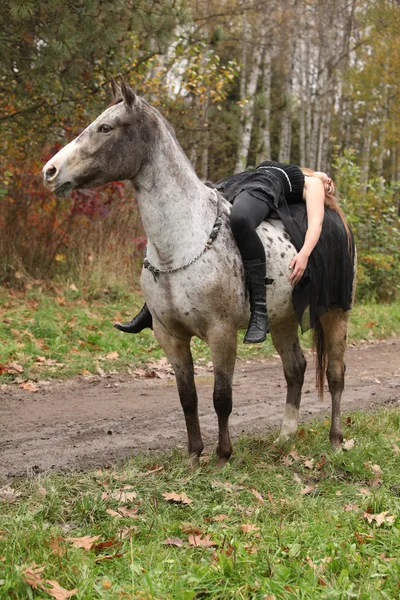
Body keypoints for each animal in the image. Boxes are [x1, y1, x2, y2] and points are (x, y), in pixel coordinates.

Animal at [41, 77, 354, 466]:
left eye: (105, 128)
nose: (50, 172)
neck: (182, 240)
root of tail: (335, 216)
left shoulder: (222, 334)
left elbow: (221, 397)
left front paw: (222, 456)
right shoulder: (170, 336)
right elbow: (187, 396)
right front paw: (193, 454)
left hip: (335, 313)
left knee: (336, 374)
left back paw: (336, 440)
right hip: (283, 319)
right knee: (295, 369)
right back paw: (285, 437)